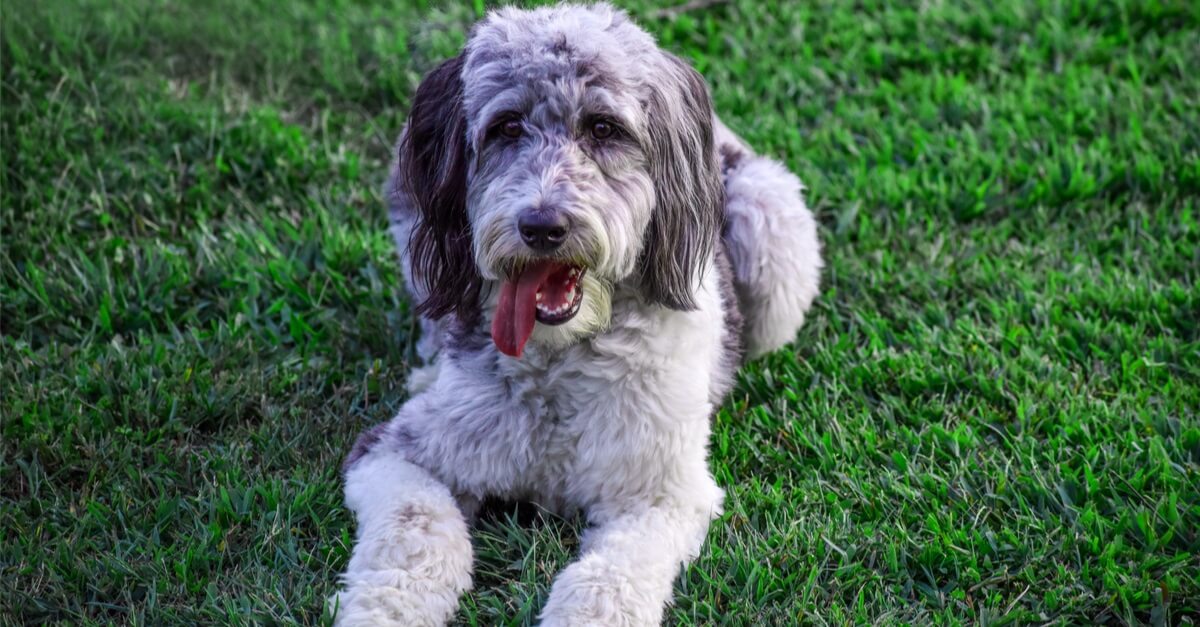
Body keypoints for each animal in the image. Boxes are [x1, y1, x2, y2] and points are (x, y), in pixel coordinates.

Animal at [333, 2, 820, 619]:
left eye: (603, 128)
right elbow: (415, 532)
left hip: (775, 223)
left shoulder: (661, 494)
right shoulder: (396, 452)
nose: (542, 226)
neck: (558, 366)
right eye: (506, 126)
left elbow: (606, 581)